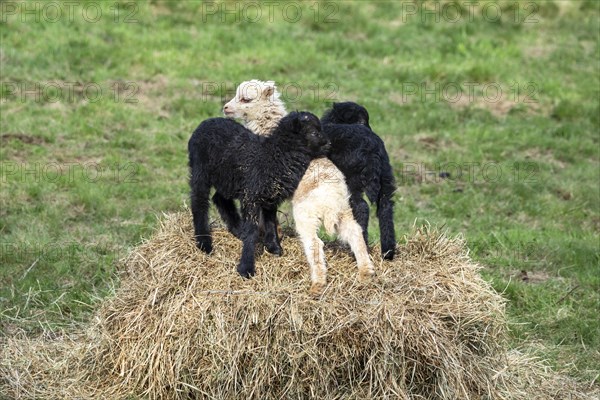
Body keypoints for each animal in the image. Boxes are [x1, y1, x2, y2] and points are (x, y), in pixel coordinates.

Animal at [188, 111, 328, 276]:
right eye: (313, 132)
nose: (328, 143)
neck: (273, 157)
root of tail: (205, 123)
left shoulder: (270, 197)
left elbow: (270, 223)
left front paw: (274, 248)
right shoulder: (251, 196)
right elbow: (252, 230)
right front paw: (246, 268)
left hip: (228, 179)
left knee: (220, 199)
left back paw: (237, 229)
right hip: (200, 170)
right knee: (199, 202)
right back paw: (204, 243)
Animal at [225, 79, 376, 296]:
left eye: (246, 99)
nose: (225, 108)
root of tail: (330, 202)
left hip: (306, 215)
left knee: (314, 244)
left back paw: (317, 284)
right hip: (344, 211)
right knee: (355, 233)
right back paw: (365, 272)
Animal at [322, 101, 396, 260]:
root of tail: (373, 151)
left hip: (353, 179)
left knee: (362, 207)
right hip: (386, 178)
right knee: (386, 208)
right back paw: (388, 252)